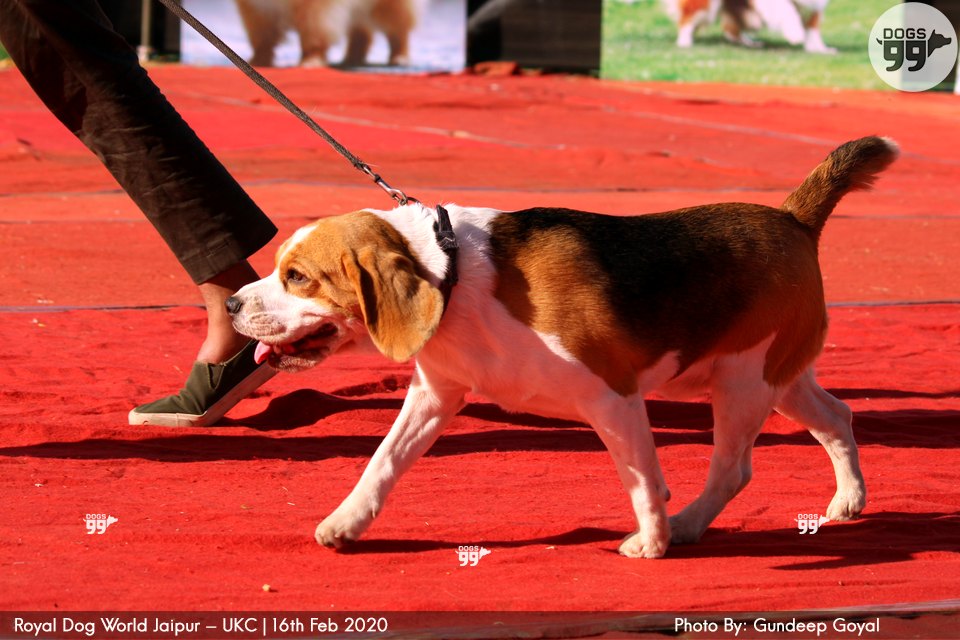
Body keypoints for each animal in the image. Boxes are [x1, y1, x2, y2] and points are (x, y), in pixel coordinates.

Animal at [228, 137, 896, 557]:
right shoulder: (434, 393)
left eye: (296, 277)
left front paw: (651, 542)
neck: (454, 274)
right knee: (837, 415)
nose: (231, 304)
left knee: (733, 468)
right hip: (771, 378)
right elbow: (383, 461)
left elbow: (641, 481)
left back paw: (683, 528)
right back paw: (848, 500)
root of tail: (793, 219)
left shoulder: (614, 398)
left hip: (741, 383)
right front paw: (347, 522)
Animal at [234, 0, 425, 67]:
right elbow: (262, 39)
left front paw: (311, 61)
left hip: (385, 8)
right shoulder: (258, 9)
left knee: (398, 30)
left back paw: (399, 57)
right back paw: (352, 58)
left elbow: (312, 36)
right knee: (362, 33)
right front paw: (259, 60)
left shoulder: (314, 10)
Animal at [666, 0, 835, 53]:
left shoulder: (815, 6)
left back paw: (749, 42)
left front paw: (819, 50)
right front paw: (795, 33)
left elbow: (813, 30)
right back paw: (685, 41)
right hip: (708, 6)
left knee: (731, 29)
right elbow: (787, 10)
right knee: (688, 17)